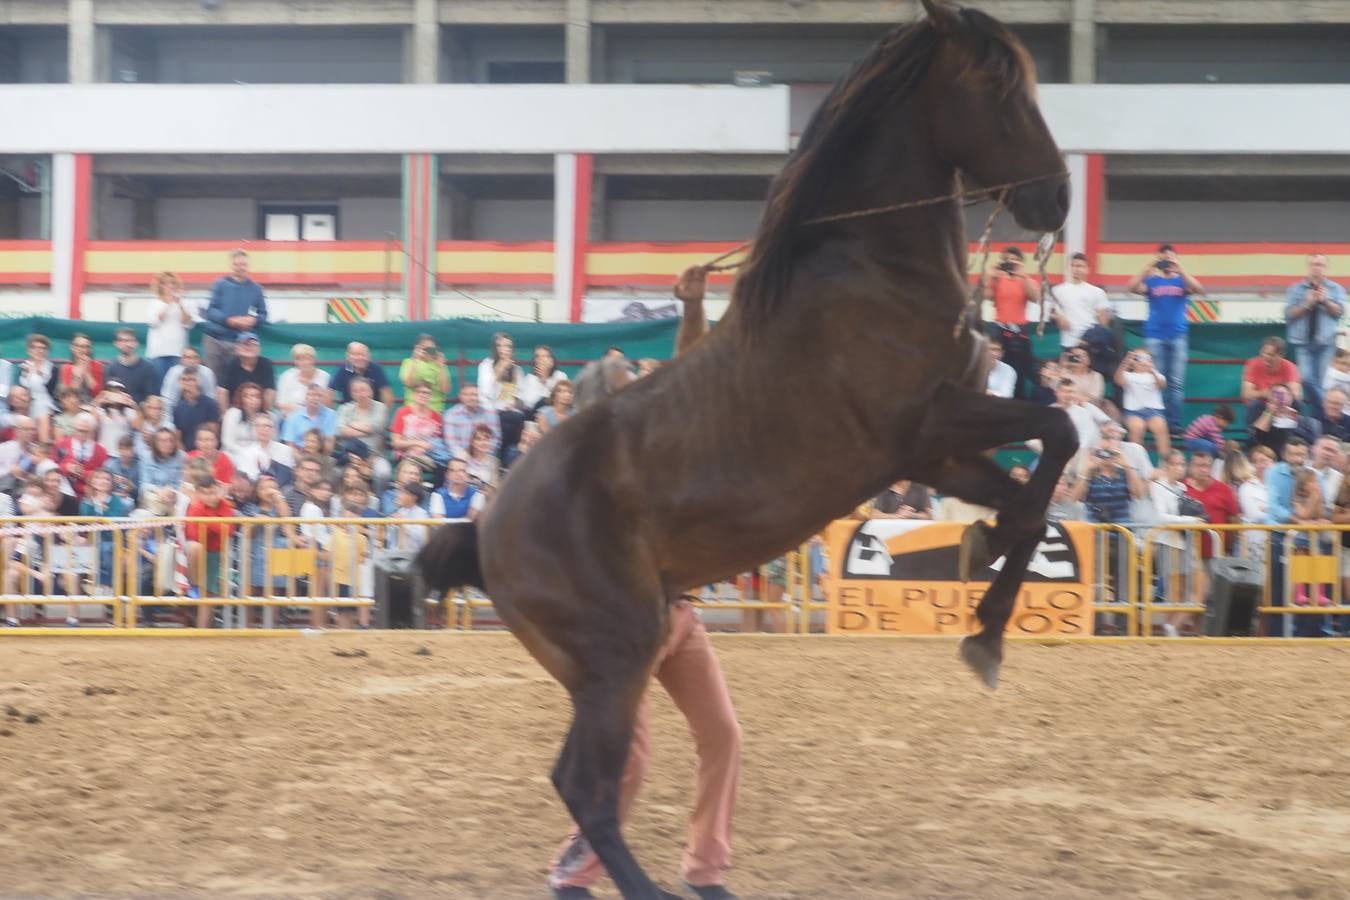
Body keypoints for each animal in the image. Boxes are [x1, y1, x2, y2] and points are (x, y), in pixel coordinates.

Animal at [421, 3, 1074, 895]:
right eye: (999, 85)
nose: (1057, 196)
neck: (871, 272)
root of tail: (487, 526)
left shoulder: (932, 457)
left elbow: (1033, 494)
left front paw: (987, 596)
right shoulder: (930, 426)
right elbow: (1062, 430)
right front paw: (985, 611)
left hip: (603, 668)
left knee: (588, 782)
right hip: (616, 657)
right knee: (586, 785)